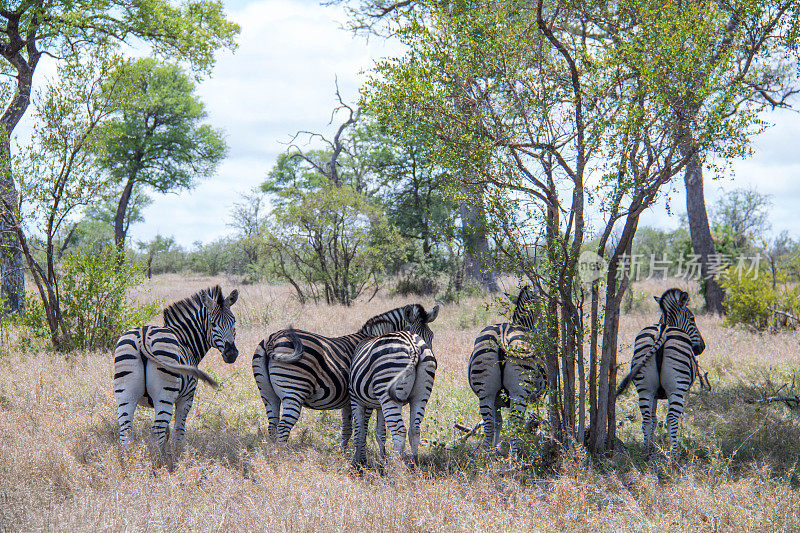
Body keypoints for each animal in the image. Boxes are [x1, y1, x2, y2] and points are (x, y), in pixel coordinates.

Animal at [113, 286, 238, 454]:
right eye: (213, 324)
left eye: (234, 321)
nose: (231, 354)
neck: (186, 342)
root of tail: (143, 337)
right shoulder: (186, 397)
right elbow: (178, 430)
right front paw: (178, 453)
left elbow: (167, 431)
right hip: (165, 394)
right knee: (157, 429)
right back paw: (161, 460)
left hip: (125, 392)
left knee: (126, 430)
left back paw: (129, 458)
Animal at [253, 304, 440, 444]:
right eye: (411, 332)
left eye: (431, 336)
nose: (433, 364)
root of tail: (273, 340)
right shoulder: (363, 399)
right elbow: (362, 428)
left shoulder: (347, 402)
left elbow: (347, 430)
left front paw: (344, 453)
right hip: (293, 389)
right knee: (283, 428)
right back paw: (281, 456)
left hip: (268, 394)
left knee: (273, 426)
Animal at [350, 328, 438, 466]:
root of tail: (413, 346)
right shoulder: (379, 406)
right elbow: (380, 433)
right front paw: (382, 461)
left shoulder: (355, 399)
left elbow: (359, 431)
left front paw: (356, 463)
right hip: (421, 395)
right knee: (414, 430)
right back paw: (414, 465)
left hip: (388, 391)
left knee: (399, 432)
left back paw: (395, 467)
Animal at [466, 284, 548, 456]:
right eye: (541, 308)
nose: (543, 331)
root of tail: (502, 337)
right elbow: (517, 422)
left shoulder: (497, 399)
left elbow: (498, 422)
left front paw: (496, 448)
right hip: (519, 391)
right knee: (515, 422)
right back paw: (516, 455)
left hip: (485, 391)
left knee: (489, 423)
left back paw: (487, 454)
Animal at [620, 288, 708, 460]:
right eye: (692, 318)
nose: (702, 347)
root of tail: (662, 332)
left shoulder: (654, 394)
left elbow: (654, 419)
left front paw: (652, 446)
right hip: (677, 387)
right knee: (672, 418)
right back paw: (675, 456)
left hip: (644, 387)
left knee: (646, 419)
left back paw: (647, 452)